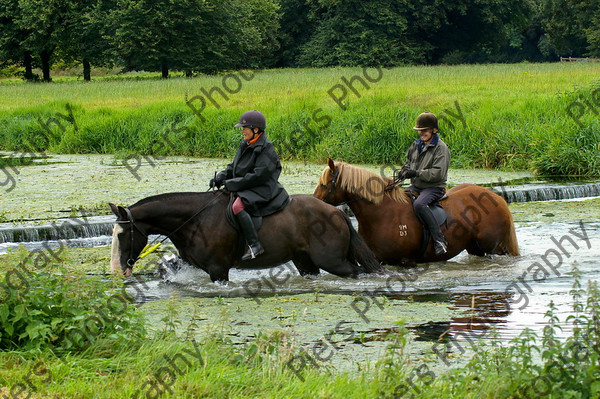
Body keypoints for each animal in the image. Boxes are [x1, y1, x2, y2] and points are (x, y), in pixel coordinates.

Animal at [108, 191, 382, 282]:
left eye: (122, 235)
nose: (116, 271)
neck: (194, 220)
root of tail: (337, 212)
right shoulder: (192, 264)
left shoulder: (218, 271)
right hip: (305, 262)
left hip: (333, 261)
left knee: (357, 272)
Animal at [314, 158, 520, 268]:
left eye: (324, 184)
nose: (314, 201)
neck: (382, 214)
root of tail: (496, 197)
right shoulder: (381, 260)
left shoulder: (406, 262)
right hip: (475, 247)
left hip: (495, 249)